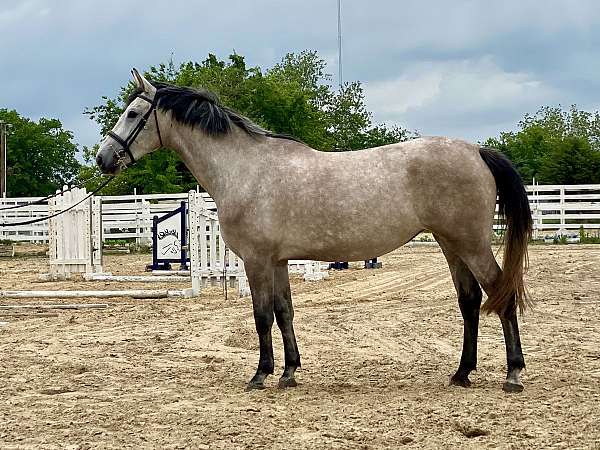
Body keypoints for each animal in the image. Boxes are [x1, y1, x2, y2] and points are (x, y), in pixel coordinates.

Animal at [96, 68, 532, 392]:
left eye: (133, 114)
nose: (103, 158)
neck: (245, 169)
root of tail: (476, 151)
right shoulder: (277, 261)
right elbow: (284, 312)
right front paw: (289, 372)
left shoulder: (256, 261)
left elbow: (261, 315)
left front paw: (261, 374)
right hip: (450, 244)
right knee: (469, 301)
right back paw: (462, 373)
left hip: (470, 244)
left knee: (501, 294)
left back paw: (512, 373)